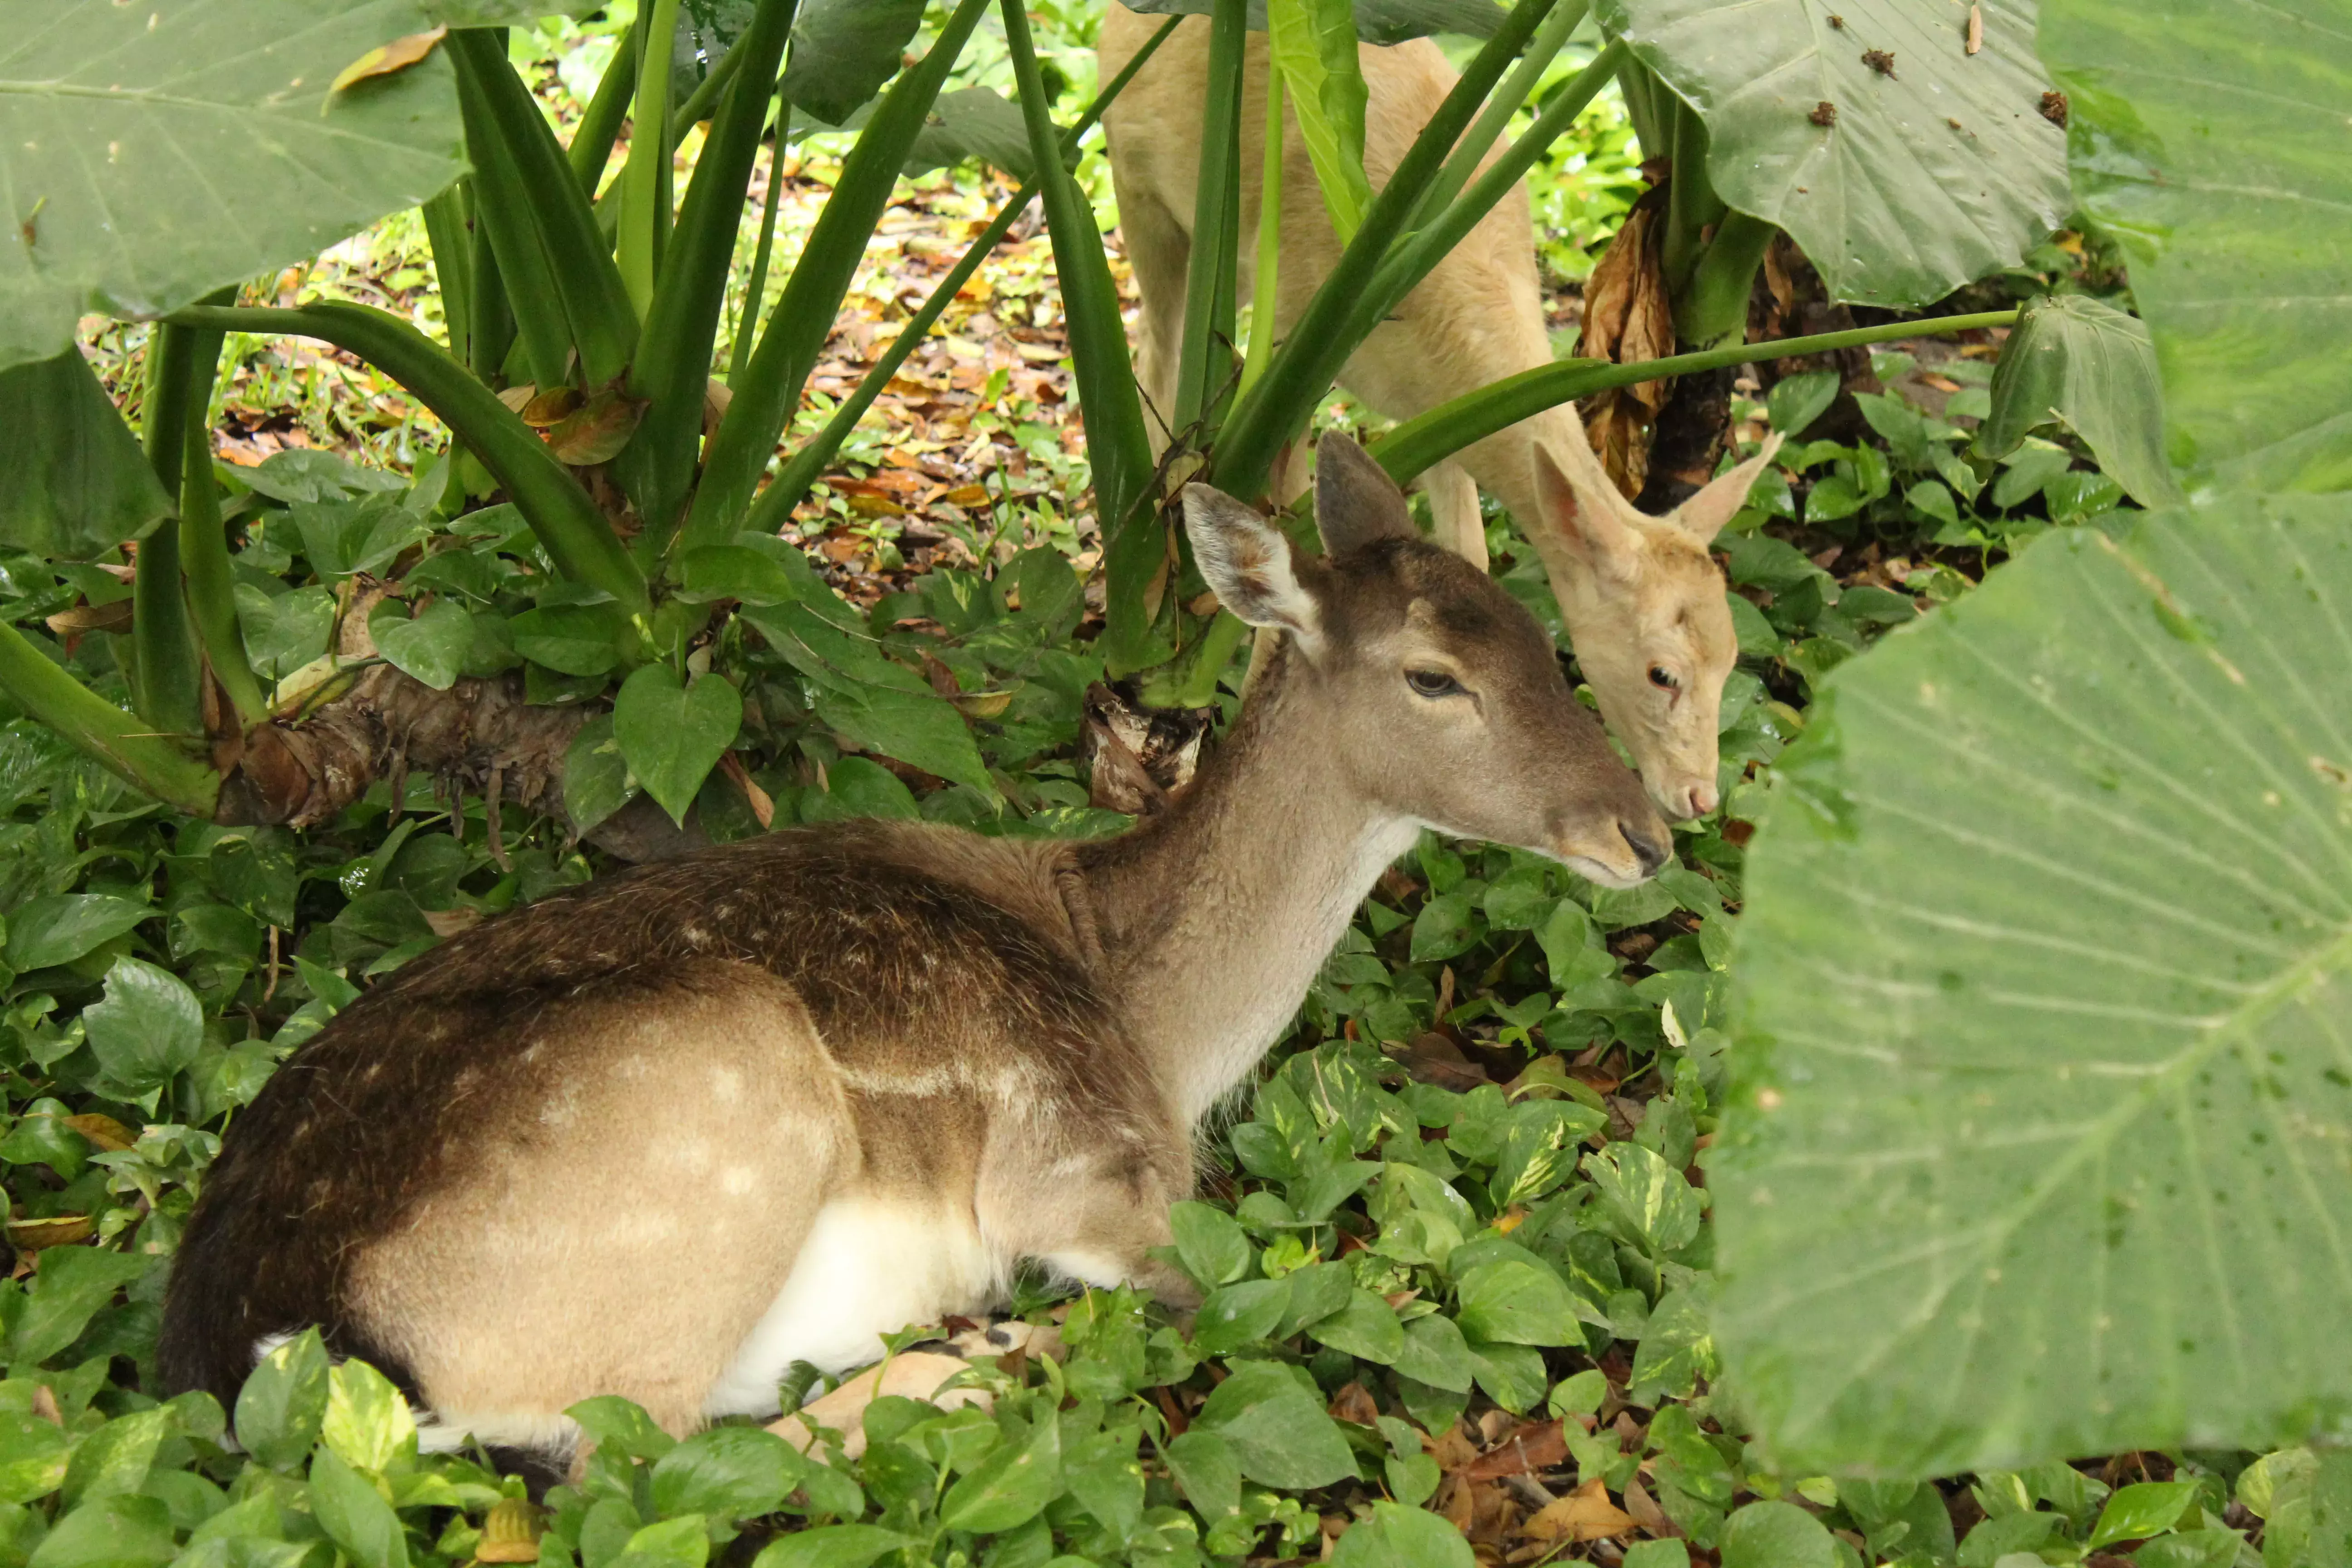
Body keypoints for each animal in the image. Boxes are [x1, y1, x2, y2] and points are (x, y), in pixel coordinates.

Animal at [156, 435, 1665, 1495]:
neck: (1155, 1020)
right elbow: (1232, 1294)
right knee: (634, 1465)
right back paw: (978, 1362)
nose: (1646, 830)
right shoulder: (1087, 1176)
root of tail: (281, 1367)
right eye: (1433, 677)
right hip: (724, 1098)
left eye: (1543, 640)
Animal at [1101, 6, 1778, 823]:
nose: (1697, 796)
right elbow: (1281, 560)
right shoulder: (1301, 334)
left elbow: (1469, 553)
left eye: (1733, 658)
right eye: (1661, 673)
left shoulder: (1447, 413)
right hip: (1141, 189)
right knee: (1157, 350)